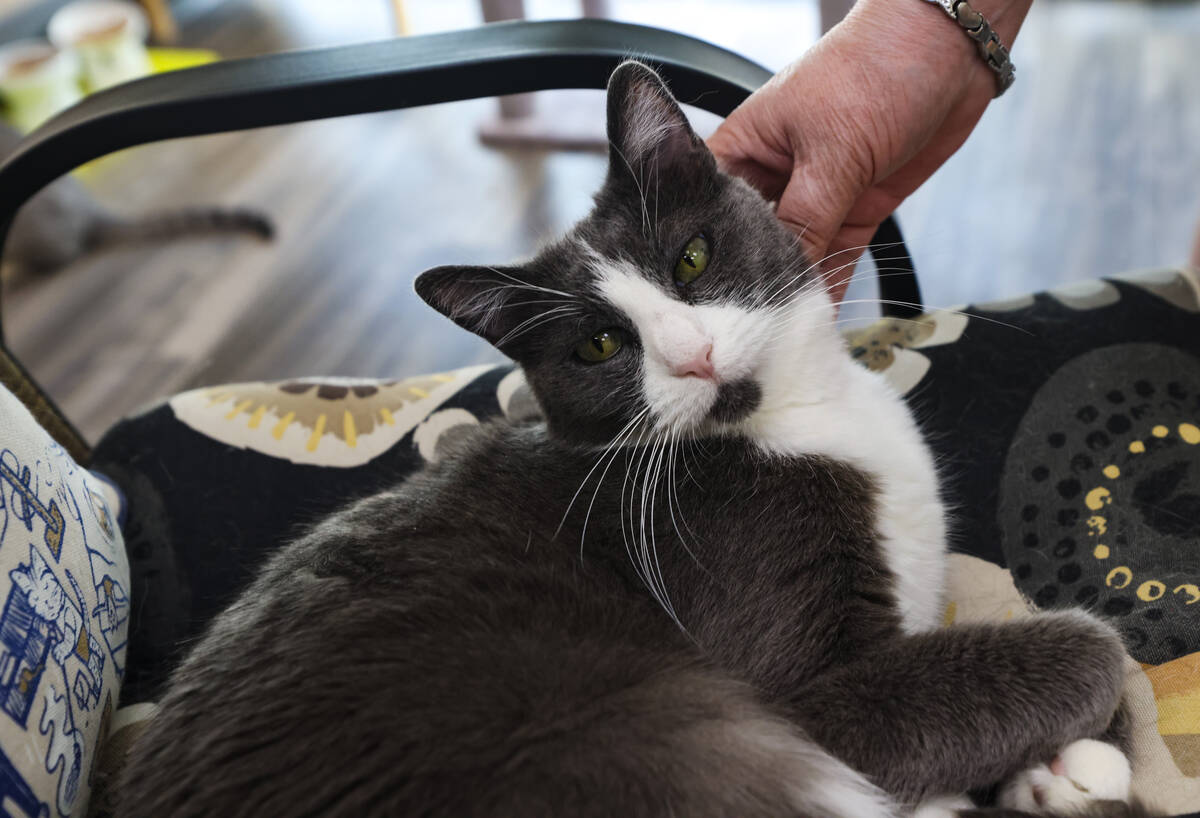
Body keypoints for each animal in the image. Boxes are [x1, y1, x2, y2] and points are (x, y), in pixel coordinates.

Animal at [114, 60, 1152, 810]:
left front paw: (1055, 770)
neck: (795, 420)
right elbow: (1083, 646)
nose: (692, 356)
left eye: (689, 259)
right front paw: (1075, 751)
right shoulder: (786, 679)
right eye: (601, 345)